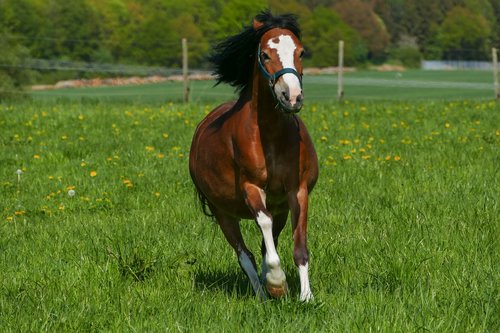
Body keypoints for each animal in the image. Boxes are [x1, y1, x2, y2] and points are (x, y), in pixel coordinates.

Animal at [189, 11, 318, 300]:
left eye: (301, 52)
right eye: (265, 55)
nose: (292, 97)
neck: (269, 135)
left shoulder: (296, 191)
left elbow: (299, 245)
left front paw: (306, 297)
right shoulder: (251, 188)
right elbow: (263, 224)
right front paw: (277, 283)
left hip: (279, 208)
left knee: (263, 245)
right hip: (222, 212)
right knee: (244, 254)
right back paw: (262, 293)